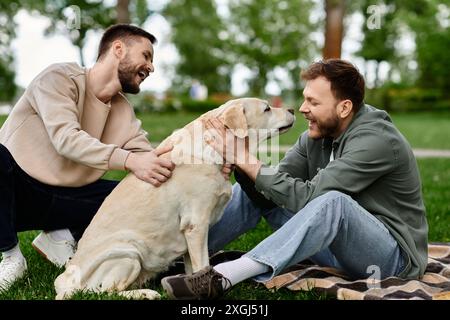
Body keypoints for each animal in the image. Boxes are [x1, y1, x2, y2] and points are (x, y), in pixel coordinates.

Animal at [54, 97, 296, 300]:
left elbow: (193, 267)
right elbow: (203, 264)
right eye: (267, 108)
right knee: (105, 291)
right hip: (128, 252)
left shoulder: (189, 235)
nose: (293, 109)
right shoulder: (196, 225)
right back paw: (146, 293)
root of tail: (65, 281)